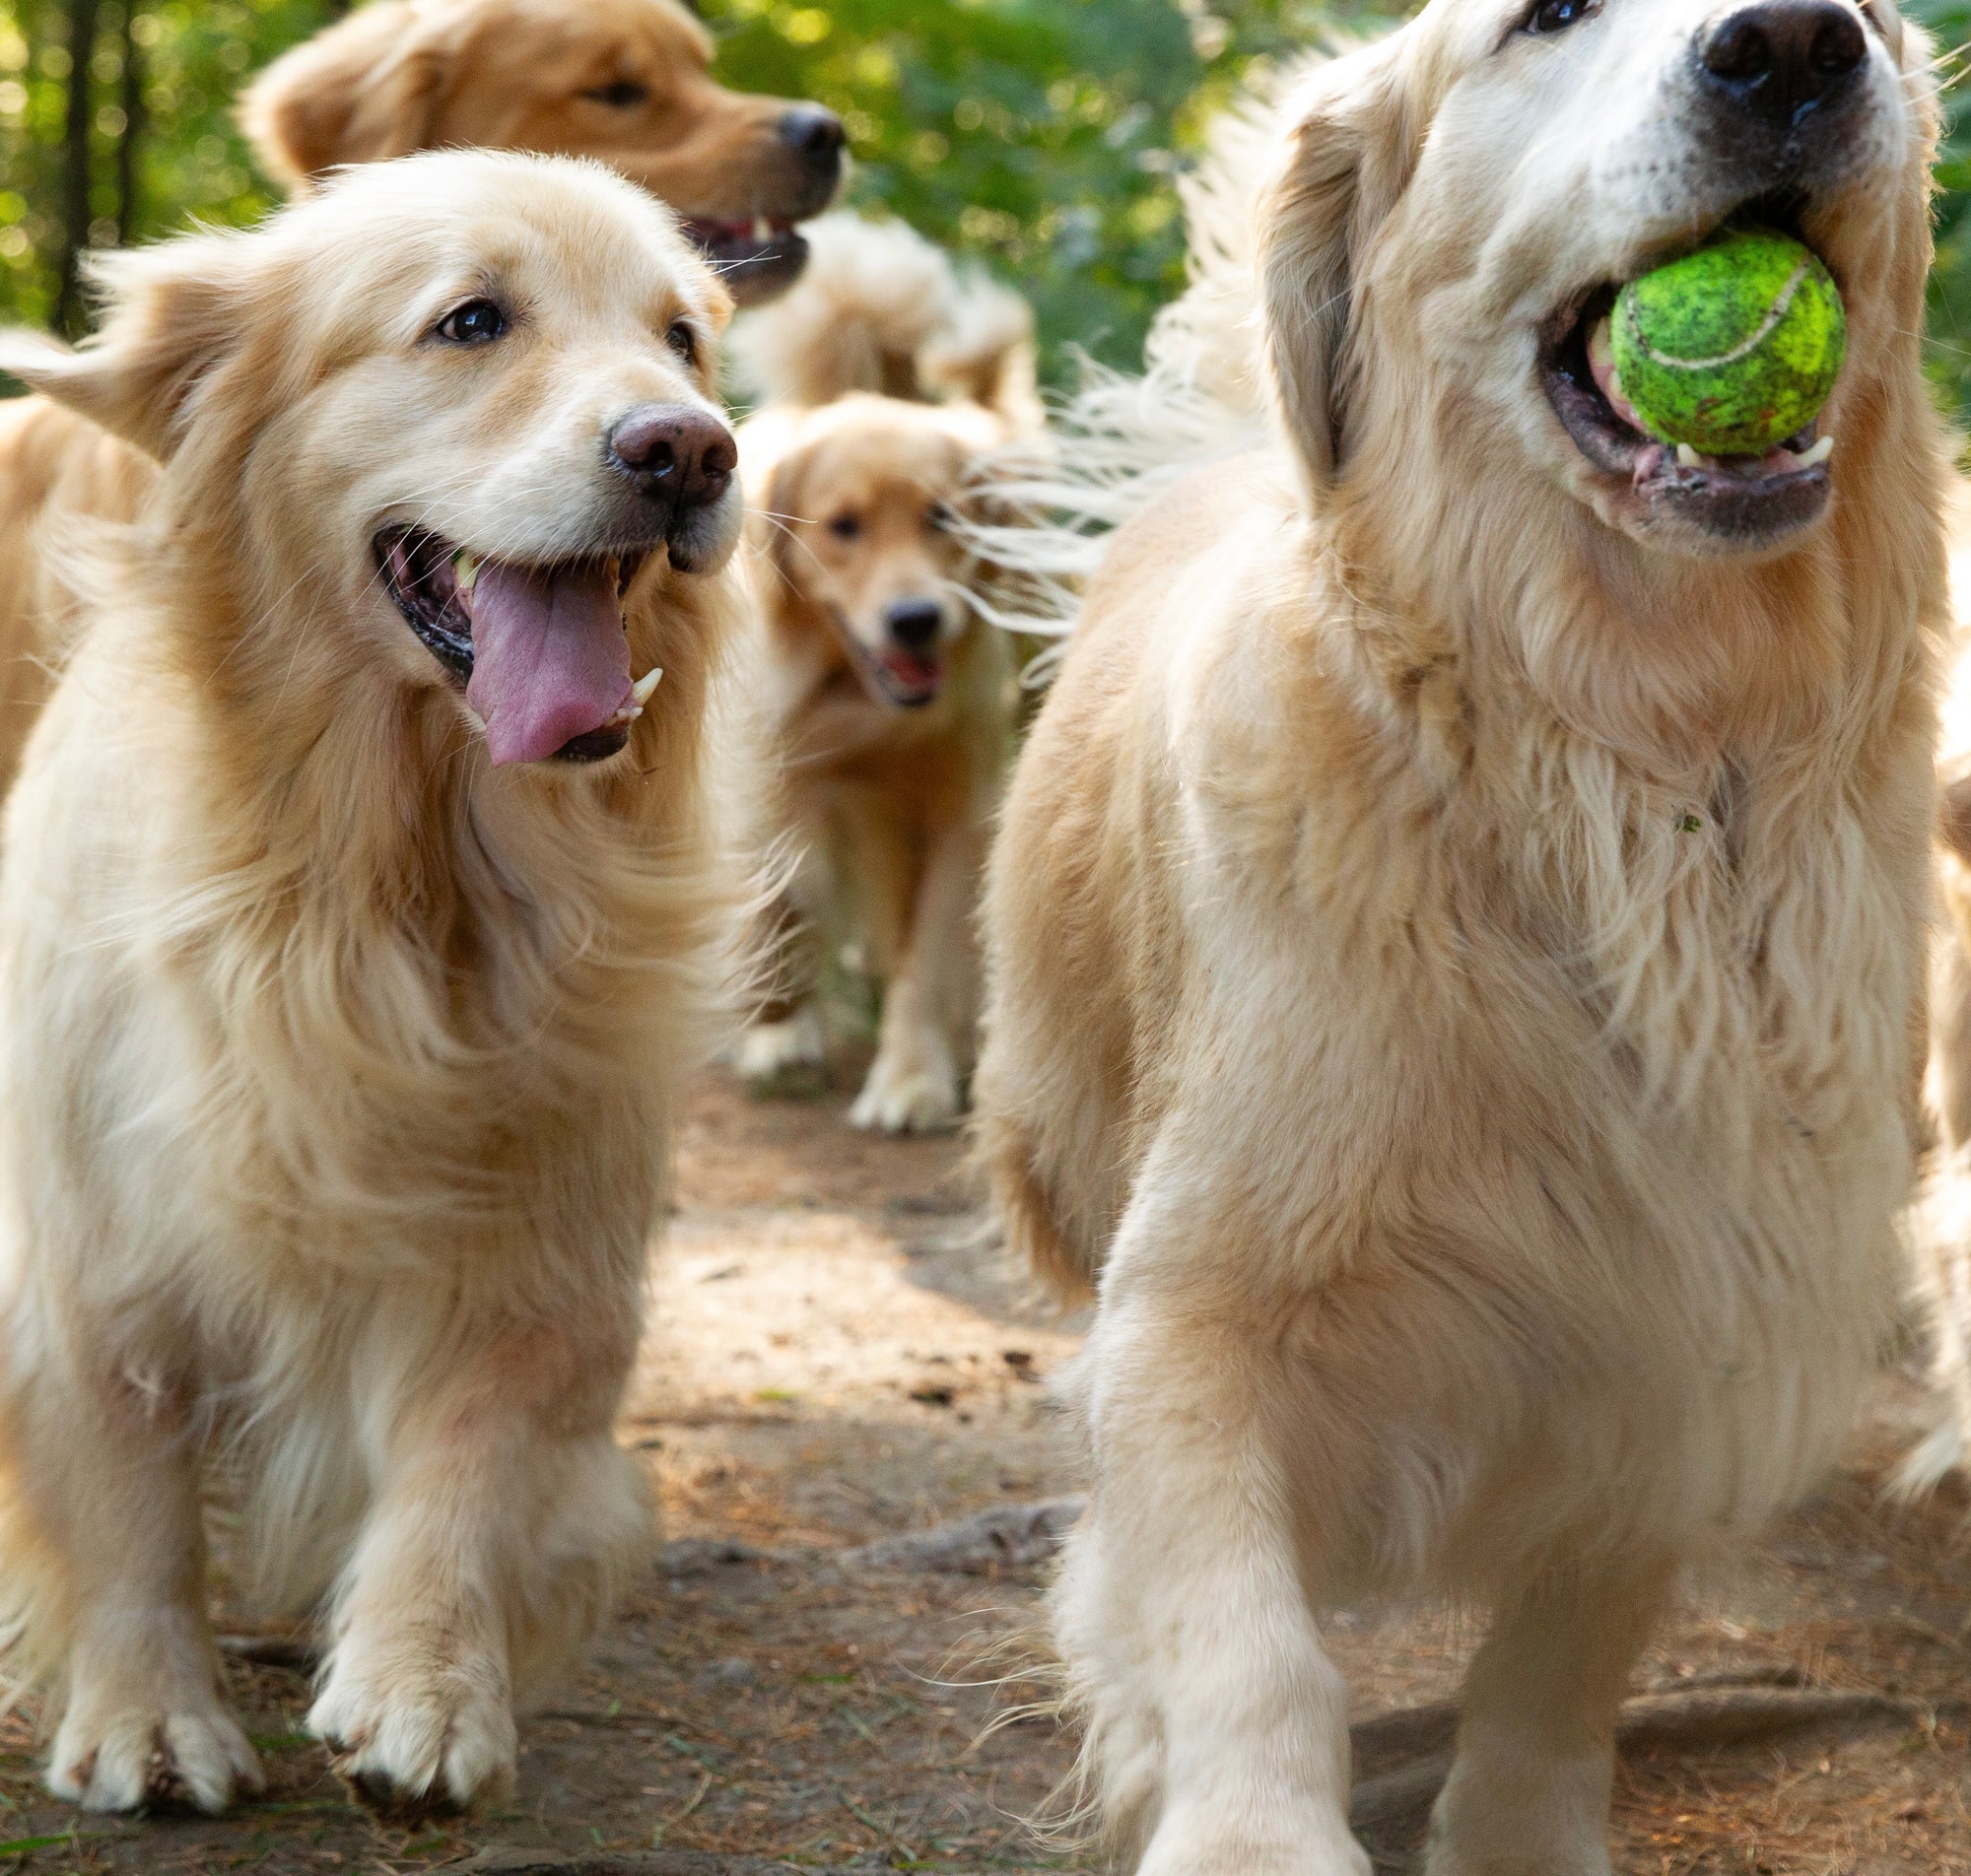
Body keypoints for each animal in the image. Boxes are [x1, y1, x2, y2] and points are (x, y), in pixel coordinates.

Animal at [0, 147, 745, 1821]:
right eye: (469, 321)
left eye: (682, 340)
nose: (691, 452)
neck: (388, 890)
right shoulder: (88, 1246)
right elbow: (124, 1486)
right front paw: (148, 1715)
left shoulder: (553, 1243)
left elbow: (474, 1449)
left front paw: (425, 1684)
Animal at [733, 216, 1049, 1127]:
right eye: (843, 526)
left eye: (942, 517)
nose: (916, 619)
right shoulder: (770, 777)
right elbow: (779, 902)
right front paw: (777, 1033)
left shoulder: (958, 807)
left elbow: (926, 953)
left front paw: (910, 1077)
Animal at [970, 3, 1939, 1860]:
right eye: (1541, 19)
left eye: (1859, 16)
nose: (1793, 48)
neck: (1627, 758)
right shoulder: (1190, 1307)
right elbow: (1241, 1634)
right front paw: (1245, 1820)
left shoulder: (1691, 1312)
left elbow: (1568, 1655)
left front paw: (1516, 1827)